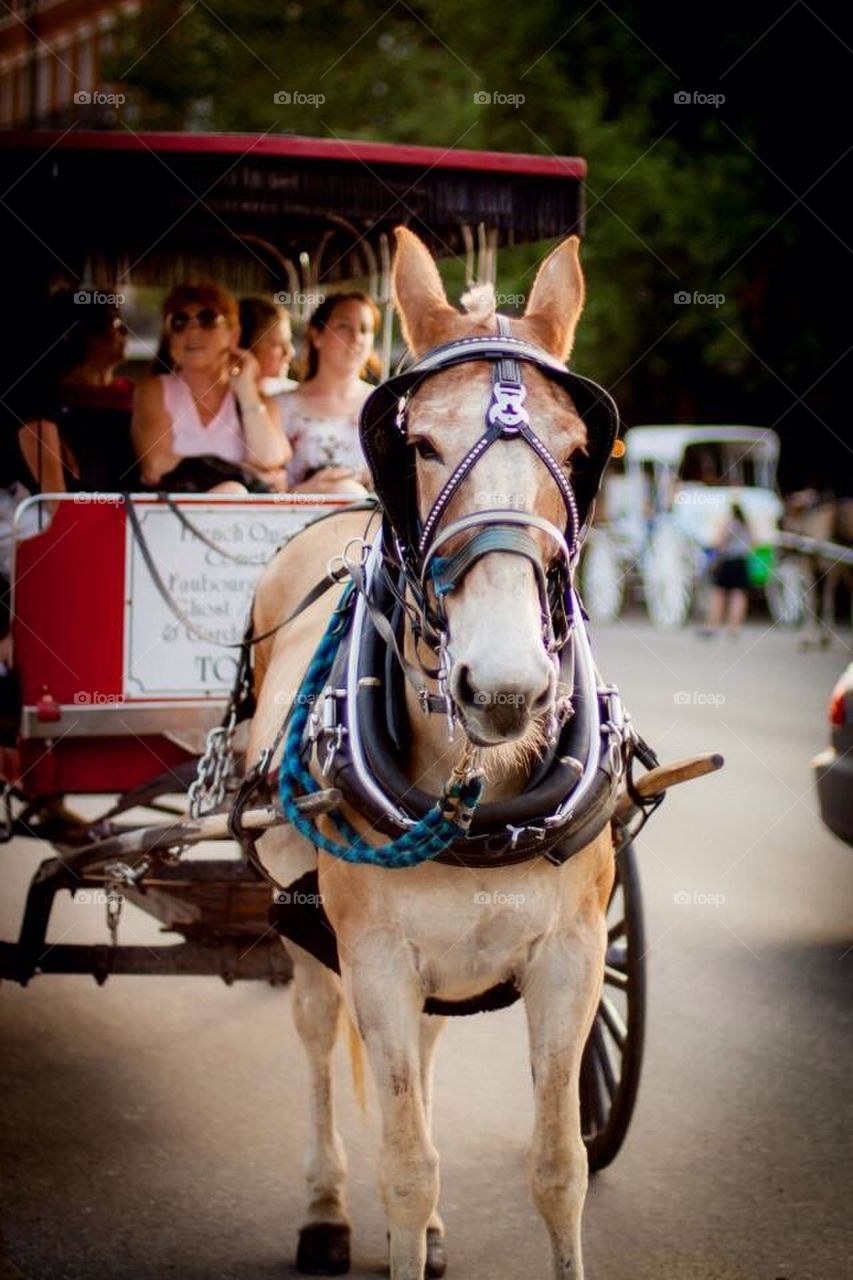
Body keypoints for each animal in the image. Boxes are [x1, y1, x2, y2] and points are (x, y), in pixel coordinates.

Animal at [244, 226, 631, 1280]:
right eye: (417, 443)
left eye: (577, 450)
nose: (503, 687)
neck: (481, 802)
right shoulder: (376, 958)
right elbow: (406, 1163)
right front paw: (392, 1218)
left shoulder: (572, 957)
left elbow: (558, 1168)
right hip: (310, 935)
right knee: (315, 1041)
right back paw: (328, 1209)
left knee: (417, 1058)